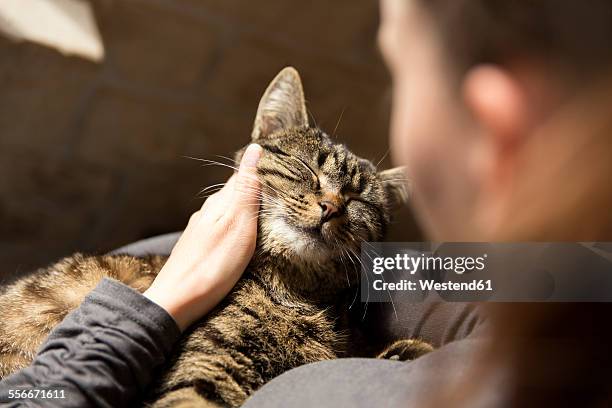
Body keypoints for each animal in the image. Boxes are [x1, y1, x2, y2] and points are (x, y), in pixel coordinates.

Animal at [0, 67, 432, 408]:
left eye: (358, 200)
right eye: (305, 166)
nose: (331, 207)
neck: (295, 294)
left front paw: (405, 354)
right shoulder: (206, 367)